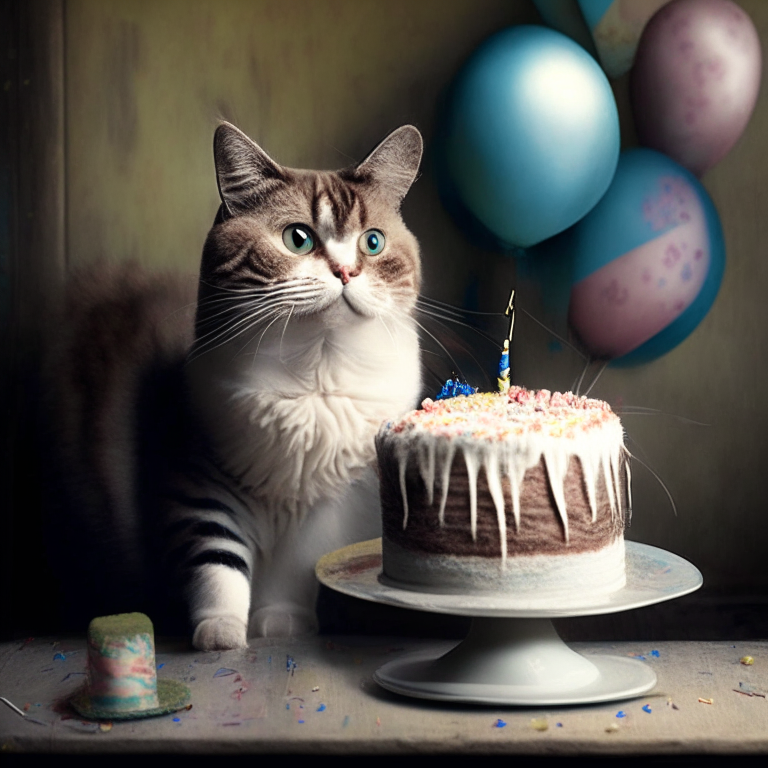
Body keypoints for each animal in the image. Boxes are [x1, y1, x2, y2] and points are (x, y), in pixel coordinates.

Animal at [42, 123, 424, 652]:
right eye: (298, 239)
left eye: (372, 243)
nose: (346, 272)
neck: (316, 371)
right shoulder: (200, 478)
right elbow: (217, 562)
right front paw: (219, 634)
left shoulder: (330, 503)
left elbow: (294, 568)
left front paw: (280, 622)